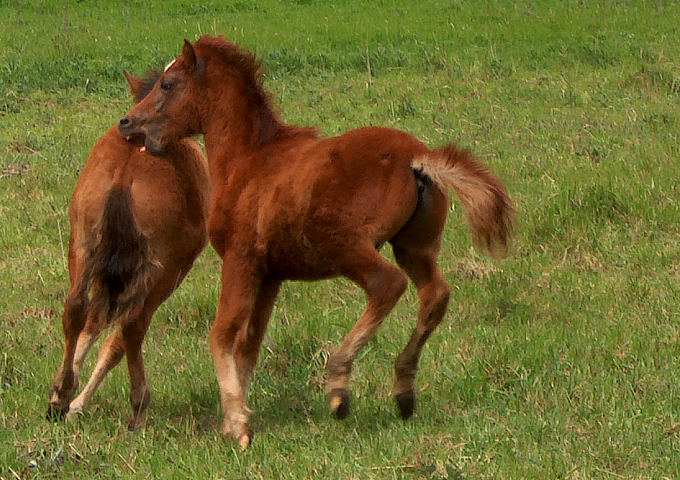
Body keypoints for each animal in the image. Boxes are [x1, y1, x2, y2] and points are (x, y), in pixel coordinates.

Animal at [47, 70, 210, 428]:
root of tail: (125, 174)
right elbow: (115, 337)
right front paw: (78, 402)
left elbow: (92, 324)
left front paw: (67, 396)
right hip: (160, 271)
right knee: (131, 325)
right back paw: (138, 406)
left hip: (83, 247)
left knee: (75, 308)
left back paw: (61, 392)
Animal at [118, 35, 510, 448]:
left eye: (168, 84)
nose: (127, 123)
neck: (249, 161)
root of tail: (418, 157)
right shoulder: (270, 275)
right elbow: (248, 347)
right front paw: (234, 416)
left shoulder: (241, 260)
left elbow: (222, 334)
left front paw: (238, 424)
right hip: (413, 247)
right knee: (434, 294)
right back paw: (403, 391)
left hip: (345, 245)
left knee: (387, 284)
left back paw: (339, 385)